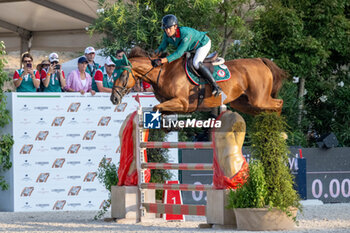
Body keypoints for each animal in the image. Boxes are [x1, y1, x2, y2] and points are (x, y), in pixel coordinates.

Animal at [112, 47, 288, 114]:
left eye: (122, 75)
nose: (113, 99)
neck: (163, 73)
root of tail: (260, 60)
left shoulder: (183, 103)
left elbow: (156, 108)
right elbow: (160, 109)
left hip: (260, 99)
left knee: (279, 103)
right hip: (243, 103)